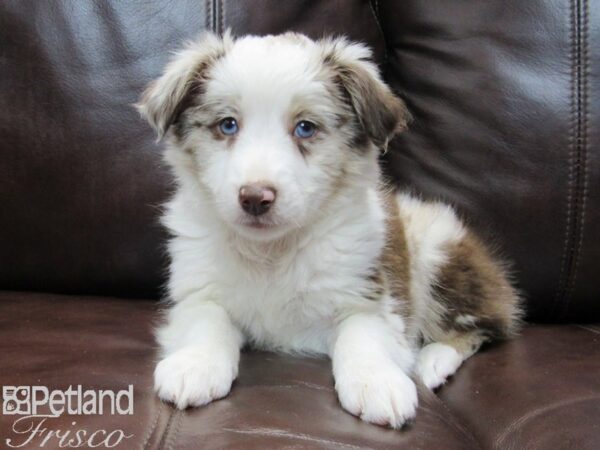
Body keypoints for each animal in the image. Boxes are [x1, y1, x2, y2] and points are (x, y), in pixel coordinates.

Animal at [136, 32, 520, 428]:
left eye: (305, 128)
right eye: (228, 125)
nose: (255, 198)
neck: (271, 253)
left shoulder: (368, 296)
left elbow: (362, 335)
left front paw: (376, 383)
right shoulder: (198, 292)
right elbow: (206, 321)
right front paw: (194, 366)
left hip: (438, 244)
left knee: (483, 327)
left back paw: (431, 362)